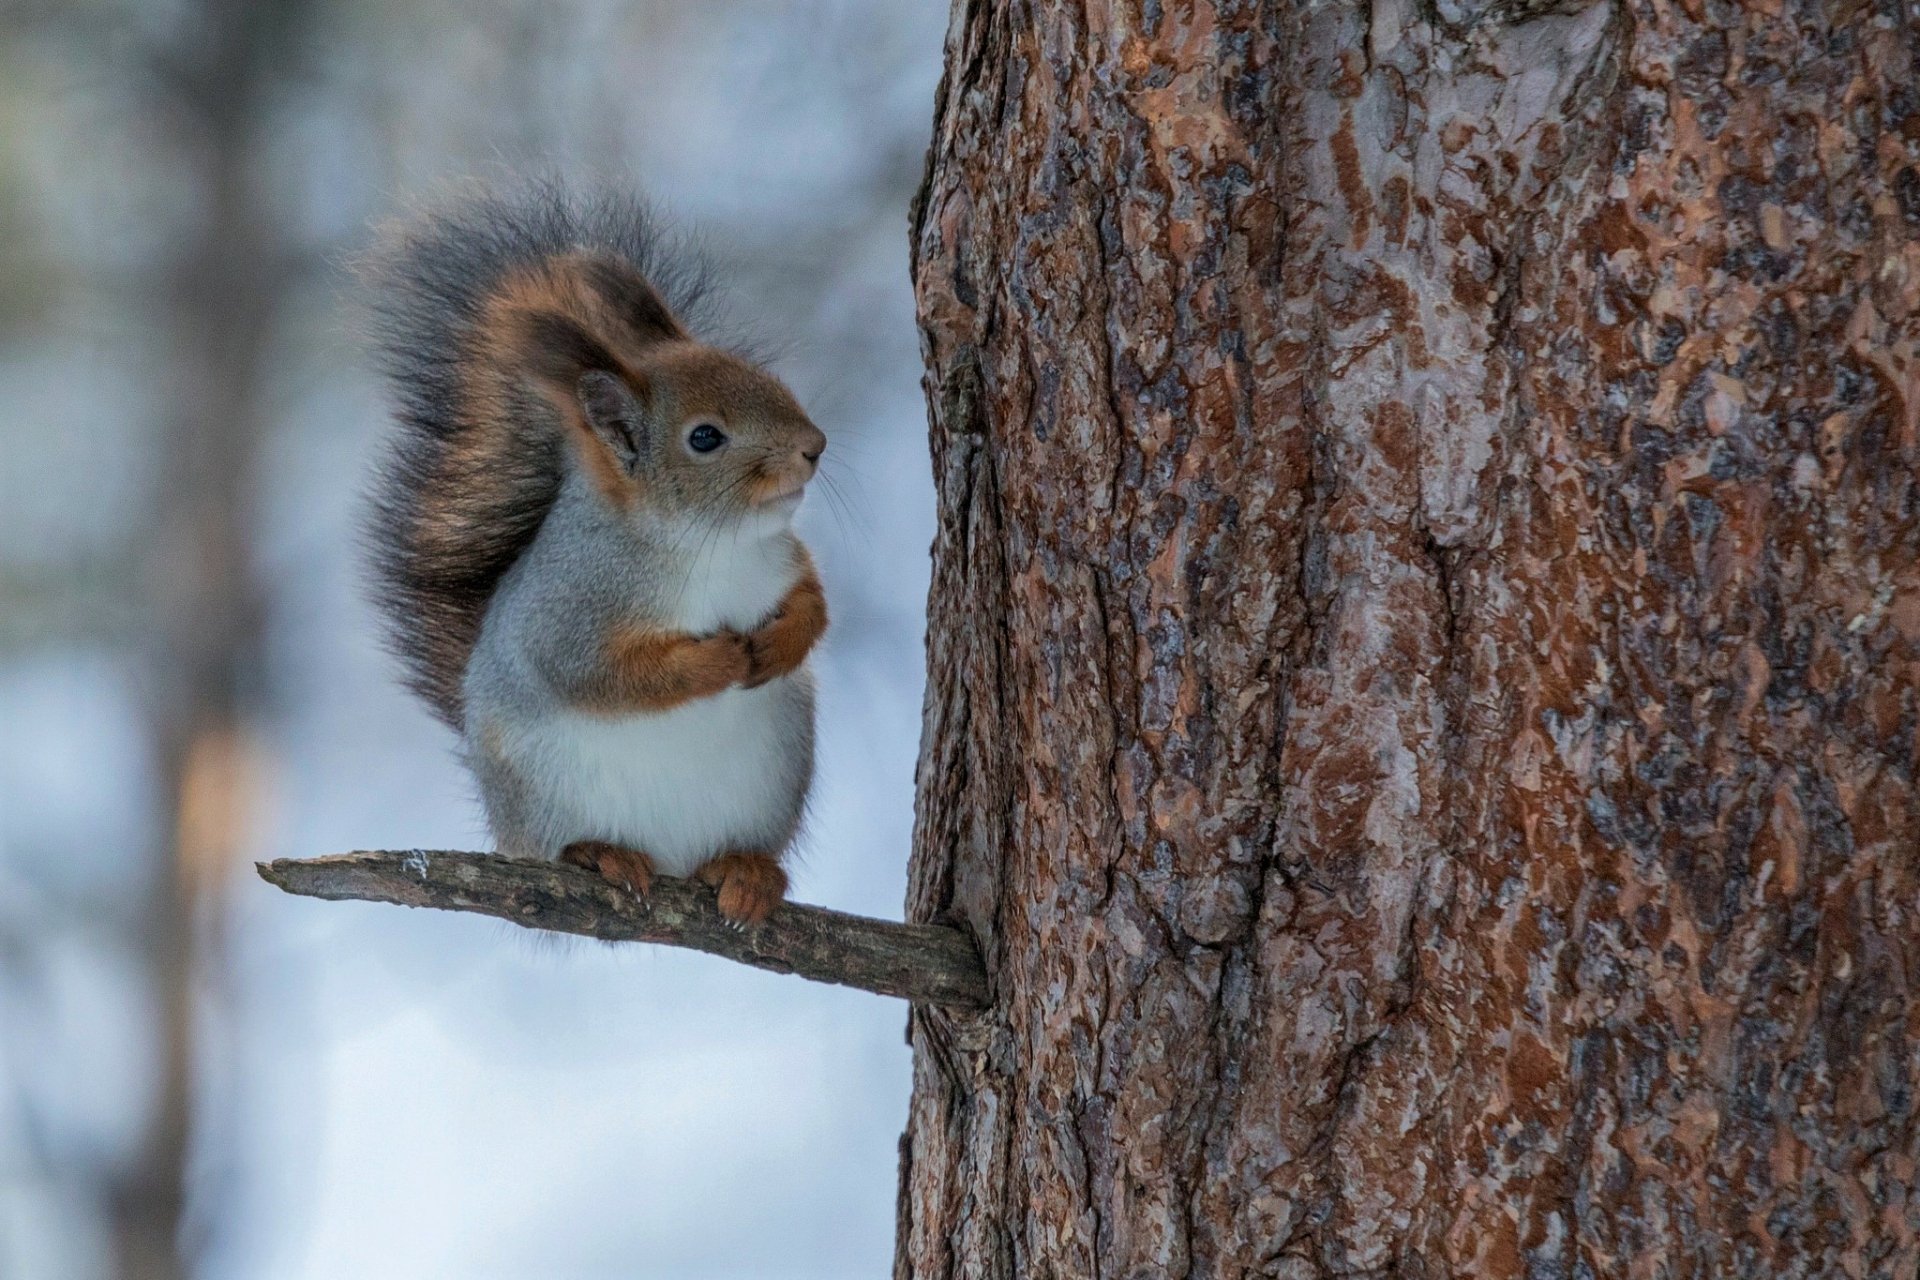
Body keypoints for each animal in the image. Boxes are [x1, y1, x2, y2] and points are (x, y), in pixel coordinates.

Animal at [360, 186, 828, 924]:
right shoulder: (570, 612)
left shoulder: (783, 558)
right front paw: (719, 658)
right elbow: (604, 677)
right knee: (563, 844)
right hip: (542, 792)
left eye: (763, 376)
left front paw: (784, 642)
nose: (814, 446)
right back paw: (601, 854)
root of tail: (672, 857)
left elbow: (814, 600)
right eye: (705, 437)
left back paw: (746, 871)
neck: (705, 540)